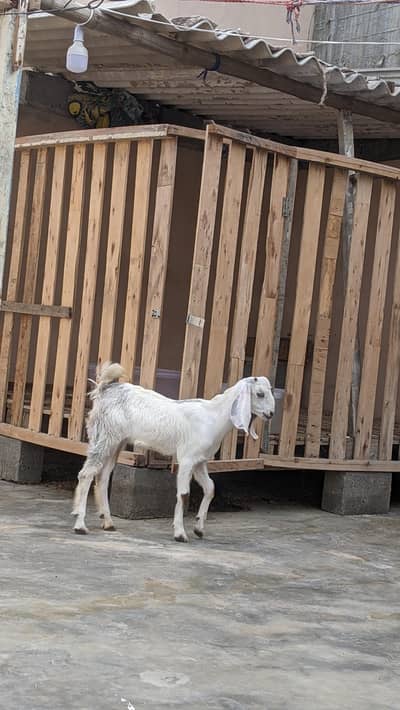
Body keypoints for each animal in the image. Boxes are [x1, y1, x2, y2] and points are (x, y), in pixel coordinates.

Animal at [72, 363, 275, 542]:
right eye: (260, 394)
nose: (271, 414)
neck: (213, 416)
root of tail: (107, 388)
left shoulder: (199, 461)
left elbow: (210, 488)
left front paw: (199, 528)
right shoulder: (186, 459)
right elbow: (184, 494)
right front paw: (180, 533)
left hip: (116, 441)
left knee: (103, 476)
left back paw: (108, 522)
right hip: (103, 437)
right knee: (86, 474)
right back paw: (80, 524)